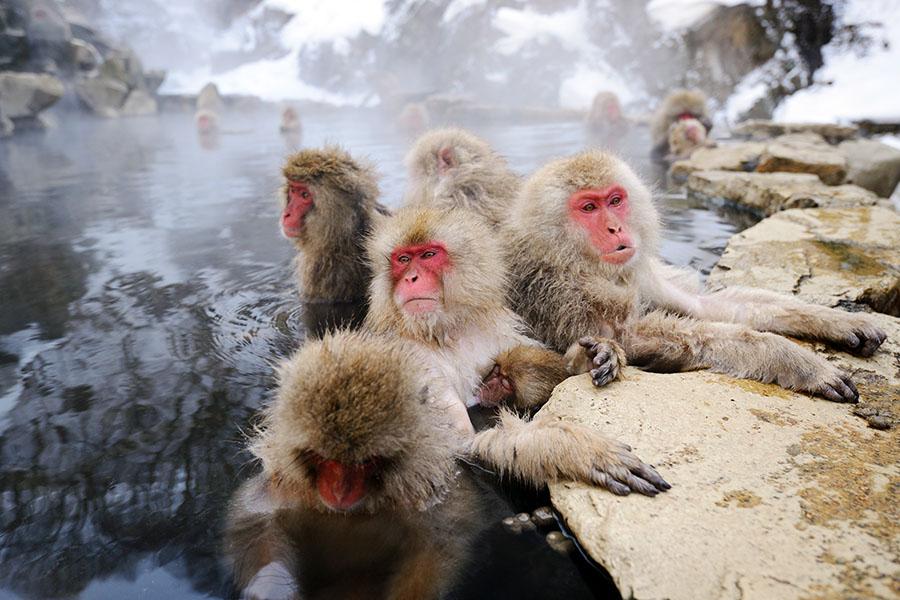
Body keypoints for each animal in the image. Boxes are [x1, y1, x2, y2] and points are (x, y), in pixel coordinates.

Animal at [224, 329, 483, 600]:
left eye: (366, 462)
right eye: (323, 458)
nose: (339, 492)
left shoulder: (427, 496)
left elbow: (440, 542)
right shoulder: (285, 489)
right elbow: (255, 522)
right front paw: (272, 587)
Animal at [364, 205, 670, 496]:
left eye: (428, 255)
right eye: (403, 259)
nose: (412, 278)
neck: (447, 332)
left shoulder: (501, 331)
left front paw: (595, 355)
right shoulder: (412, 359)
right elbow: (458, 444)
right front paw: (569, 447)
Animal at [501, 149, 888, 403]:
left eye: (614, 200)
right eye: (588, 208)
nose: (615, 228)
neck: (571, 259)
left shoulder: (640, 272)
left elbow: (702, 305)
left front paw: (838, 320)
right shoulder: (559, 291)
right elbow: (635, 337)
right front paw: (797, 361)